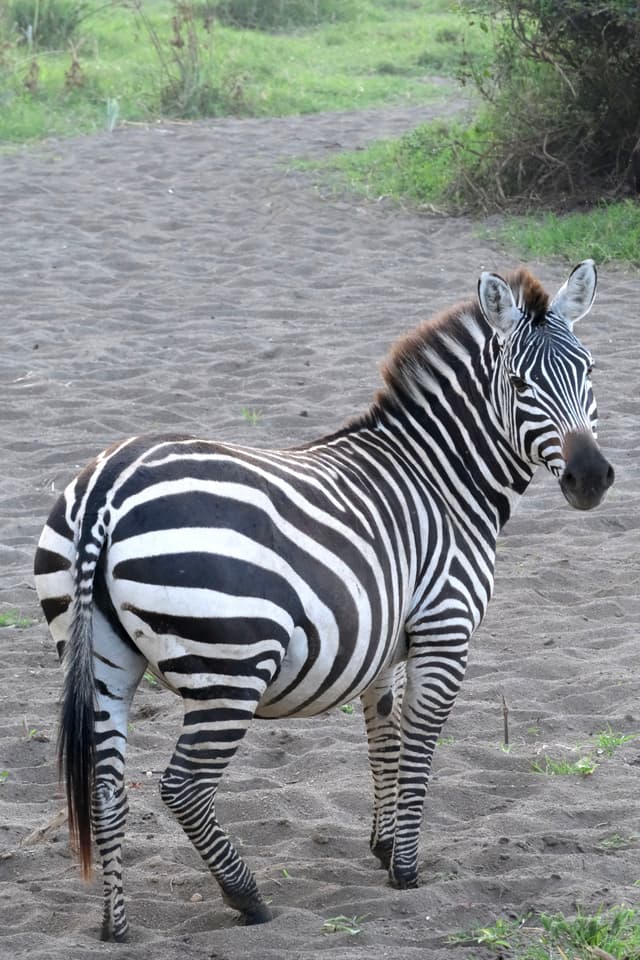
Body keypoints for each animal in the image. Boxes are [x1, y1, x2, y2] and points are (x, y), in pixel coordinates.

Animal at [34, 261, 613, 941]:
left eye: (590, 370)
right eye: (520, 383)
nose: (591, 479)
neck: (442, 480)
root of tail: (107, 484)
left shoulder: (387, 640)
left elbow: (383, 733)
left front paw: (383, 847)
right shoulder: (445, 629)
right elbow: (419, 741)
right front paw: (406, 869)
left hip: (100, 658)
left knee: (105, 784)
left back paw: (116, 925)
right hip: (230, 667)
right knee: (182, 786)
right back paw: (247, 897)